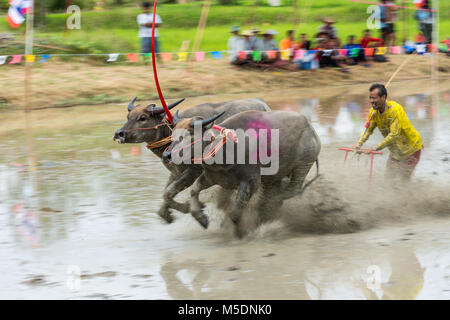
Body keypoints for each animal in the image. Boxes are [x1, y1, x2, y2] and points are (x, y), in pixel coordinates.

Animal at [112, 97, 270, 225]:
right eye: (128, 116)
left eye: (142, 117)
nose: (119, 134)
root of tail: (264, 106)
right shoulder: (176, 172)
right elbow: (166, 193)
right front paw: (170, 213)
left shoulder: (194, 171)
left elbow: (169, 192)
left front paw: (190, 207)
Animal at [163, 110, 322, 238]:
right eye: (173, 132)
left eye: (190, 133)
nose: (167, 154)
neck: (227, 148)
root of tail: (311, 130)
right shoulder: (213, 178)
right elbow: (194, 190)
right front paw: (201, 218)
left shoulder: (251, 182)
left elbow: (234, 212)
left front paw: (240, 231)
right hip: (275, 177)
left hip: (303, 165)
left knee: (291, 191)